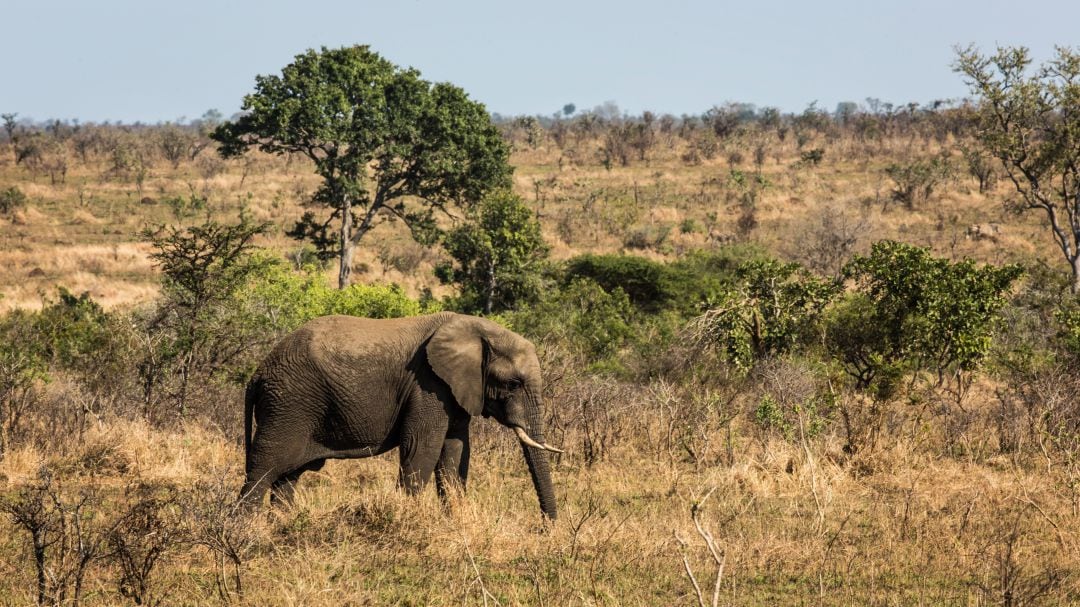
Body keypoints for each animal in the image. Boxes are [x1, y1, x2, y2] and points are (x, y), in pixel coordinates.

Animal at [239, 311, 561, 514]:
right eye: (513, 384)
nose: (547, 526)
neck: (475, 327)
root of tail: (257, 374)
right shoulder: (428, 385)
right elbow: (422, 449)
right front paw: (410, 517)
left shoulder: (454, 391)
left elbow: (455, 453)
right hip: (288, 405)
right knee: (262, 470)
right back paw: (245, 534)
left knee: (287, 477)